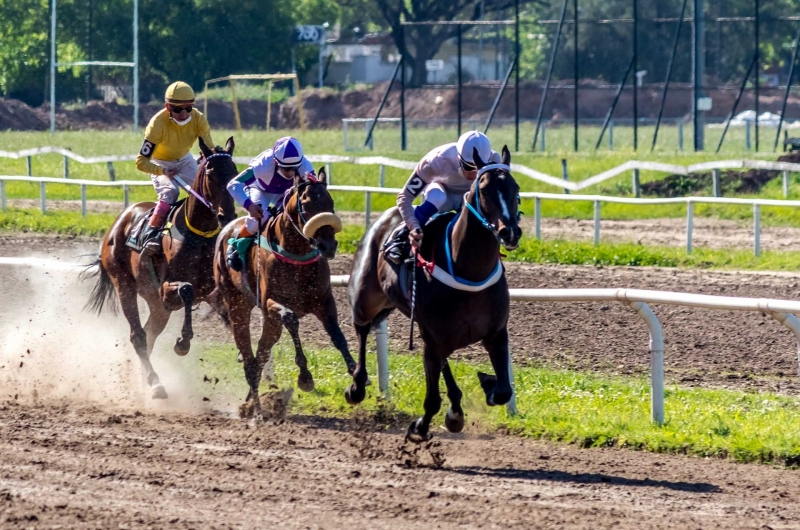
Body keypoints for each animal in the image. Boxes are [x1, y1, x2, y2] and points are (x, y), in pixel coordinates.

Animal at [82, 136, 238, 396]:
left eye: (235, 172)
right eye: (211, 173)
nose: (227, 215)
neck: (198, 234)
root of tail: (119, 222)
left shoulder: (209, 290)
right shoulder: (165, 290)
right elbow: (186, 289)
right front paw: (183, 343)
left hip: (156, 307)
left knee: (150, 335)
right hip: (125, 285)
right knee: (138, 336)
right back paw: (155, 383)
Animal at [212, 167, 354, 418]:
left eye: (331, 202)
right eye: (306, 205)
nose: (328, 246)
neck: (296, 254)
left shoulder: (324, 301)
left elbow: (337, 335)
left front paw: (358, 376)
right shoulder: (270, 302)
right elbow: (291, 319)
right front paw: (305, 377)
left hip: (269, 322)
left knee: (260, 354)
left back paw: (250, 404)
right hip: (238, 305)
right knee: (248, 355)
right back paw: (256, 409)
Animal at [346, 145, 520, 442]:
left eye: (515, 188)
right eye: (485, 190)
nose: (510, 232)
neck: (468, 270)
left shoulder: (496, 333)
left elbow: (503, 390)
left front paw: (486, 385)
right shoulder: (432, 336)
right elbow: (431, 401)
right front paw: (419, 427)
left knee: (443, 361)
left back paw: (456, 408)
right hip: (367, 298)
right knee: (363, 327)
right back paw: (357, 385)